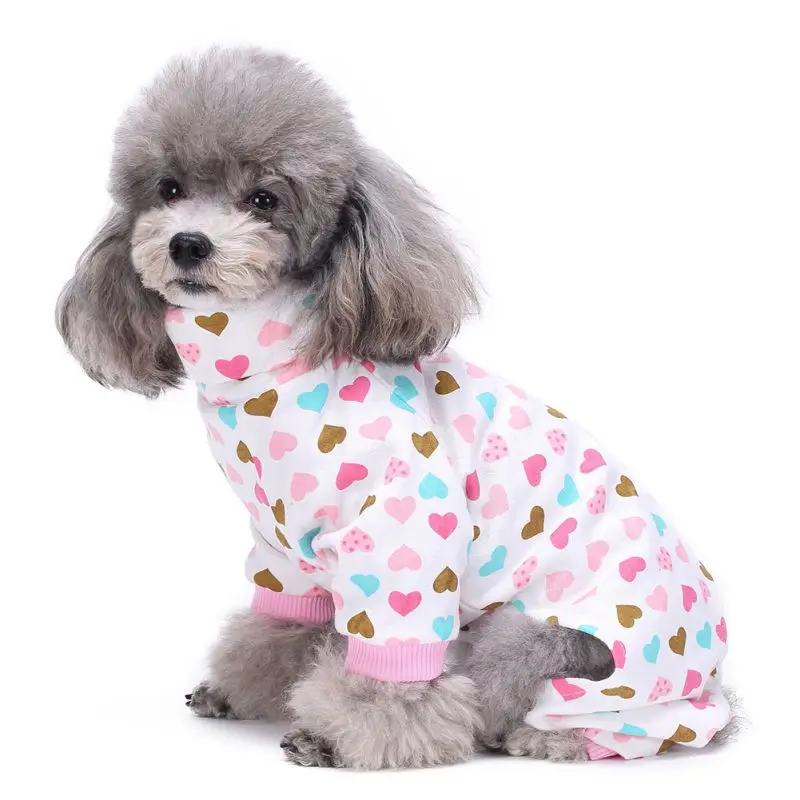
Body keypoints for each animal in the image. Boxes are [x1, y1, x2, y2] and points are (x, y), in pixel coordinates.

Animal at [57, 47, 736, 768]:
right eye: (169, 189)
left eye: (264, 199)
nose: (188, 243)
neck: (274, 366)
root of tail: (717, 689)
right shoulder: (284, 549)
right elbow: (278, 627)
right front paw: (243, 687)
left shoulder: (403, 533)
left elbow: (393, 667)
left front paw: (339, 734)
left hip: (545, 643)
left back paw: (543, 737)